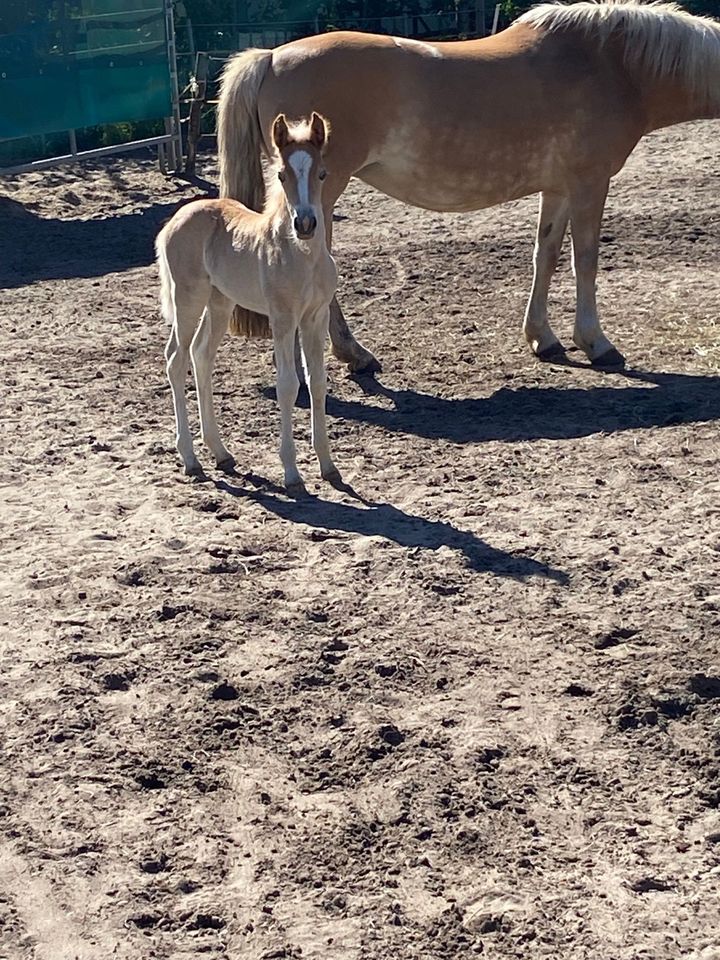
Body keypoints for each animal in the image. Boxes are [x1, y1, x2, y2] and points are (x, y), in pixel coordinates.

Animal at [155, 114, 340, 496]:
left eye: (322, 173)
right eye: (281, 175)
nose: (305, 224)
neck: (302, 257)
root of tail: (173, 221)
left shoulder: (315, 317)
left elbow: (317, 381)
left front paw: (329, 466)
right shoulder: (283, 319)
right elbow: (288, 385)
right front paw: (292, 473)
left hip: (220, 302)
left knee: (200, 354)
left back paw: (221, 452)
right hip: (188, 300)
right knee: (175, 359)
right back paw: (191, 459)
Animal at [218, 0, 720, 372]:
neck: (611, 64)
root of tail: (270, 57)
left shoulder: (558, 188)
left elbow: (546, 256)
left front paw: (543, 338)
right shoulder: (589, 184)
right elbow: (586, 261)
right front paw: (595, 342)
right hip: (317, 192)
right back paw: (344, 358)